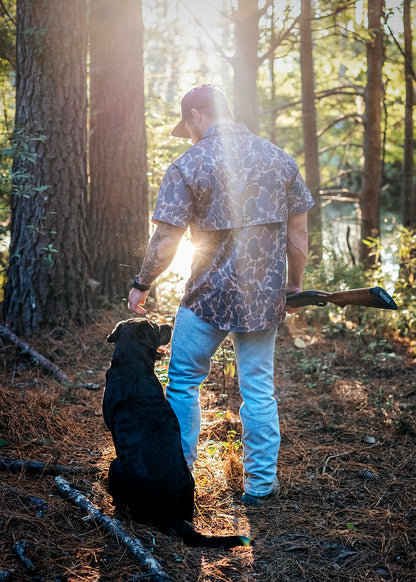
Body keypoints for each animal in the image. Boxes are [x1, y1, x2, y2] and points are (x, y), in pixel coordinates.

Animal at [103, 322, 250, 548]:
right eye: (157, 328)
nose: (168, 325)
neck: (131, 365)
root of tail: (169, 513)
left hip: (116, 466)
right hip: (191, 479)